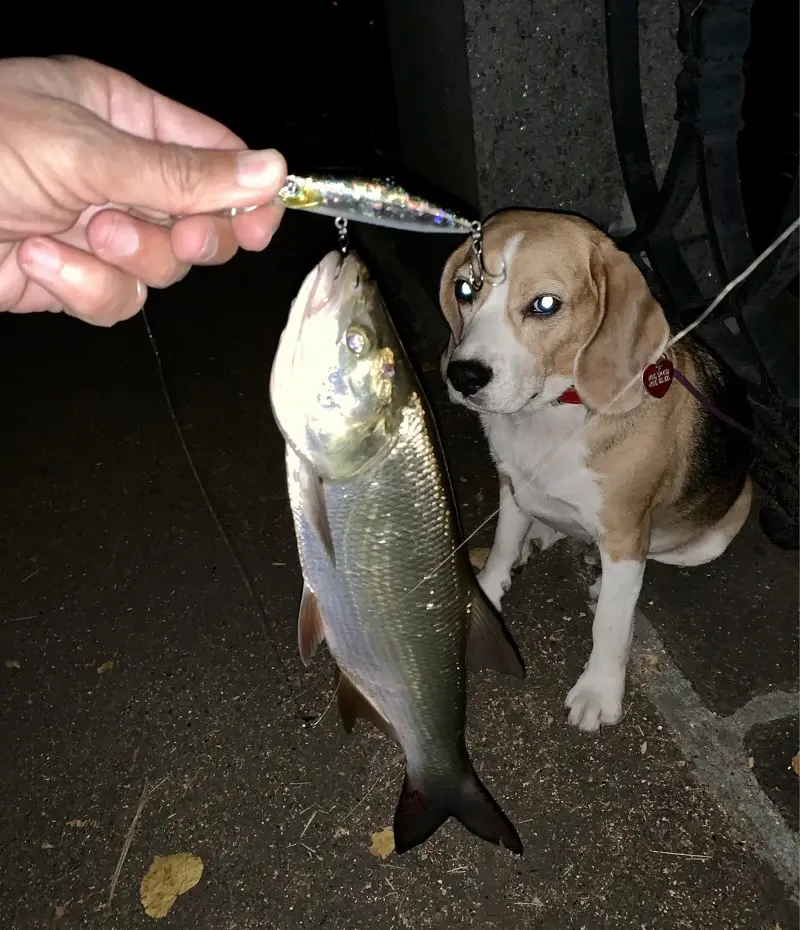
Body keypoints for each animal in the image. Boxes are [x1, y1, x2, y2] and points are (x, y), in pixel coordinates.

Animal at [440, 210, 752, 732]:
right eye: (466, 288)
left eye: (545, 305)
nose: (463, 376)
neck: (553, 411)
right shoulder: (511, 485)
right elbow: (503, 542)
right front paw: (487, 591)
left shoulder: (625, 531)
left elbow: (610, 623)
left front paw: (598, 690)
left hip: (713, 535)